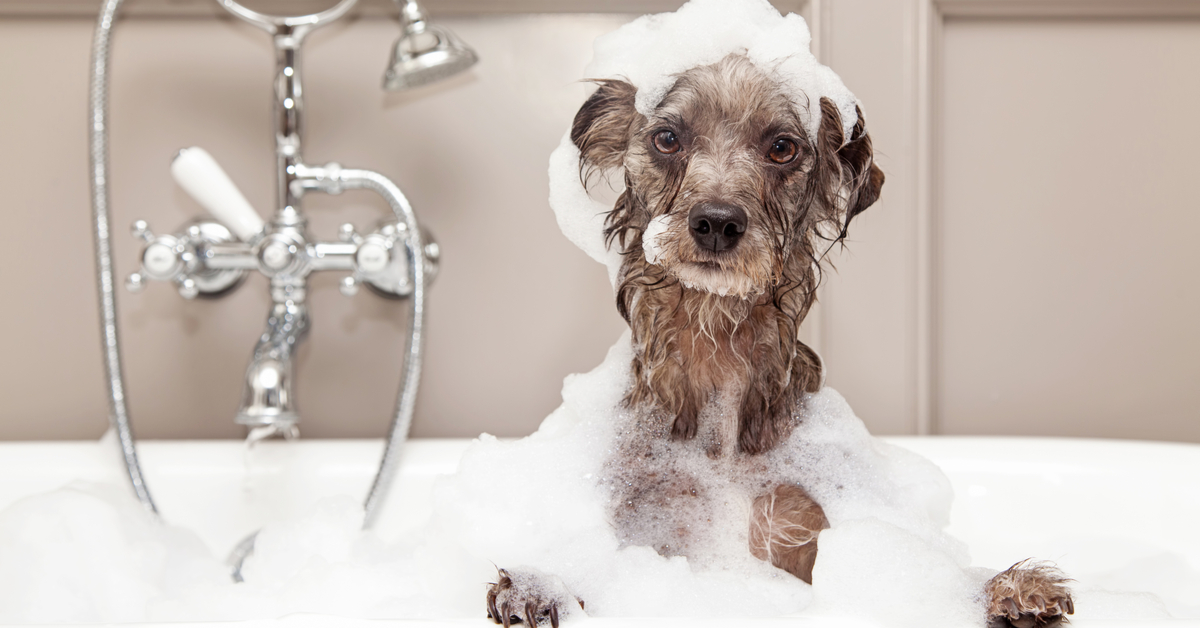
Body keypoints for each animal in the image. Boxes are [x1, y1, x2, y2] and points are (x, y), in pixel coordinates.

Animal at [482, 54, 1075, 628]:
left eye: (783, 148)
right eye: (667, 138)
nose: (716, 222)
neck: (716, 351)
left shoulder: (801, 526)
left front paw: (1001, 588)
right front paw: (543, 584)